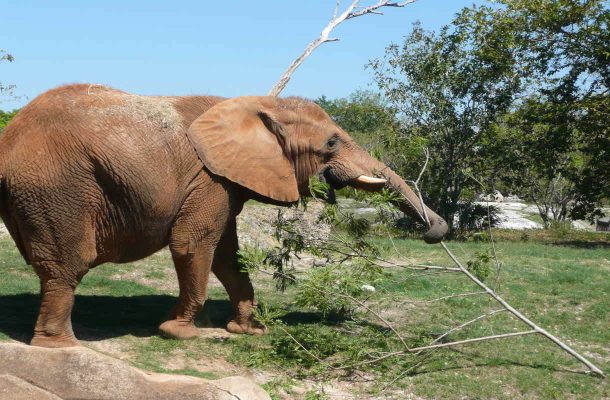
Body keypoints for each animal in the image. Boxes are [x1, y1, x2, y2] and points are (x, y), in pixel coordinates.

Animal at [0, 83, 446, 346]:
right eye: (332, 143)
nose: (435, 233)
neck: (260, 105)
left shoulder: (224, 182)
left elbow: (228, 256)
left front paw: (249, 330)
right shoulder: (209, 178)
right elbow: (194, 244)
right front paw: (178, 332)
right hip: (57, 189)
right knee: (68, 264)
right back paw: (60, 346)